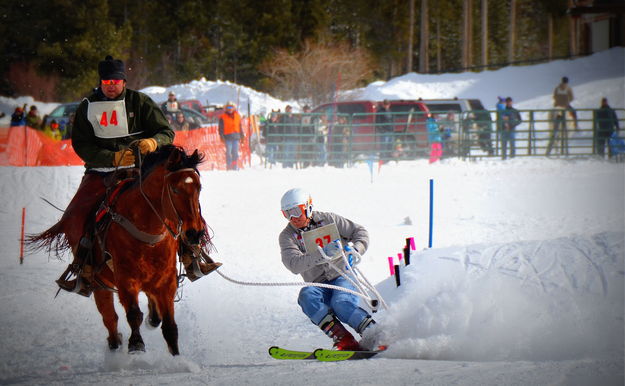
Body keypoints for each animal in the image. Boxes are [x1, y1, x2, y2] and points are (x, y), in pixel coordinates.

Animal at [29, 146, 211, 356]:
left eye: (199, 187)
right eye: (174, 189)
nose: (194, 233)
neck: (146, 231)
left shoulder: (167, 281)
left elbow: (170, 327)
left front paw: (175, 355)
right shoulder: (125, 280)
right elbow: (133, 314)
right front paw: (136, 344)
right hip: (99, 284)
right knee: (110, 317)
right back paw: (114, 342)